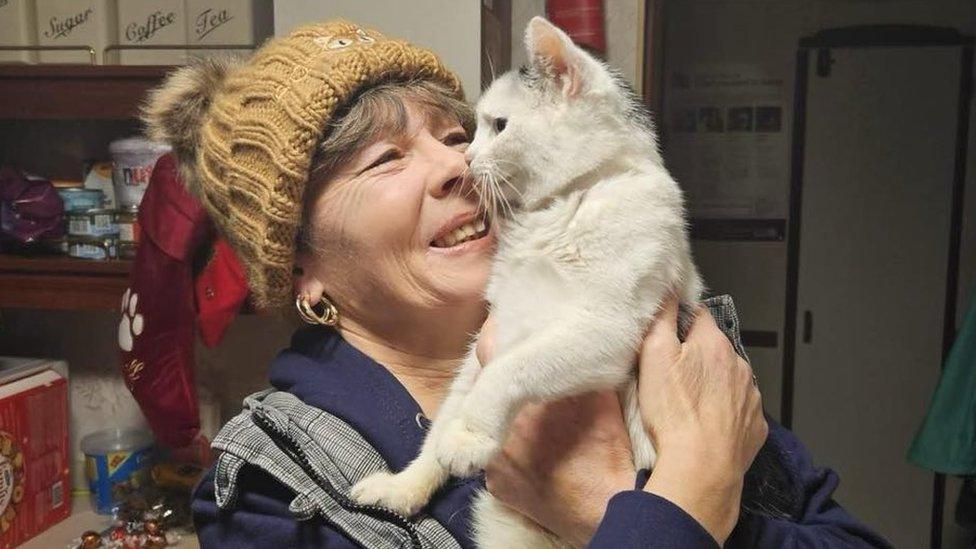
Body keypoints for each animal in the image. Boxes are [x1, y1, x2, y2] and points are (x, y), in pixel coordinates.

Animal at [352, 17, 700, 548]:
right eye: (467, 134)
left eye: (498, 126)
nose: (466, 162)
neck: (558, 209)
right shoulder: (489, 334)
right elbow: (445, 418)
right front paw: (405, 484)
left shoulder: (605, 331)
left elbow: (510, 370)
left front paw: (470, 438)